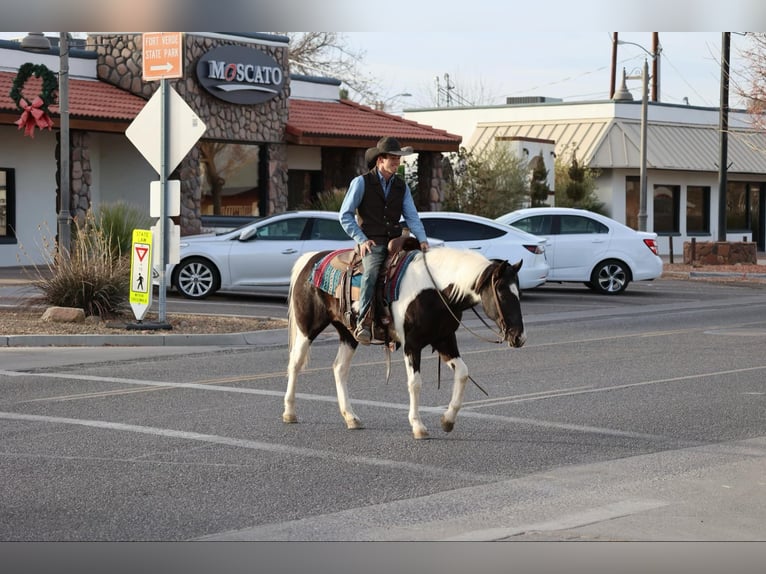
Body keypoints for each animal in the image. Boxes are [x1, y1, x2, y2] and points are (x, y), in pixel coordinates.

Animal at [282, 245, 526, 439]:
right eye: (502, 293)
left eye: (519, 293)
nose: (519, 337)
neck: (435, 291)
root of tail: (311, 258)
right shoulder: (412, 345)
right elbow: (415, 384)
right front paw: (418, 426)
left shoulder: (444, 340)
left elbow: (463, 373)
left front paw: (448, 420)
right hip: (308, 328)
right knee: (295, 363)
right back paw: (289, 412)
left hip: (348, 334)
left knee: (339, 369)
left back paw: (351, 417)